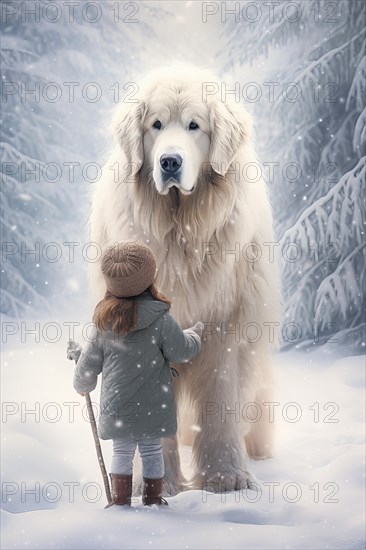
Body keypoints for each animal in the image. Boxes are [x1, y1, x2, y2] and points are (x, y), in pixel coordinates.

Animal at [90, 64, 282, 496]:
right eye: (156, 125)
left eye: (195, 125)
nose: (170, 162)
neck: (180, 231)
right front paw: (157, 482)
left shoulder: (223, 326)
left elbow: (221, 402)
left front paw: (227, 477)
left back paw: (258, 448)